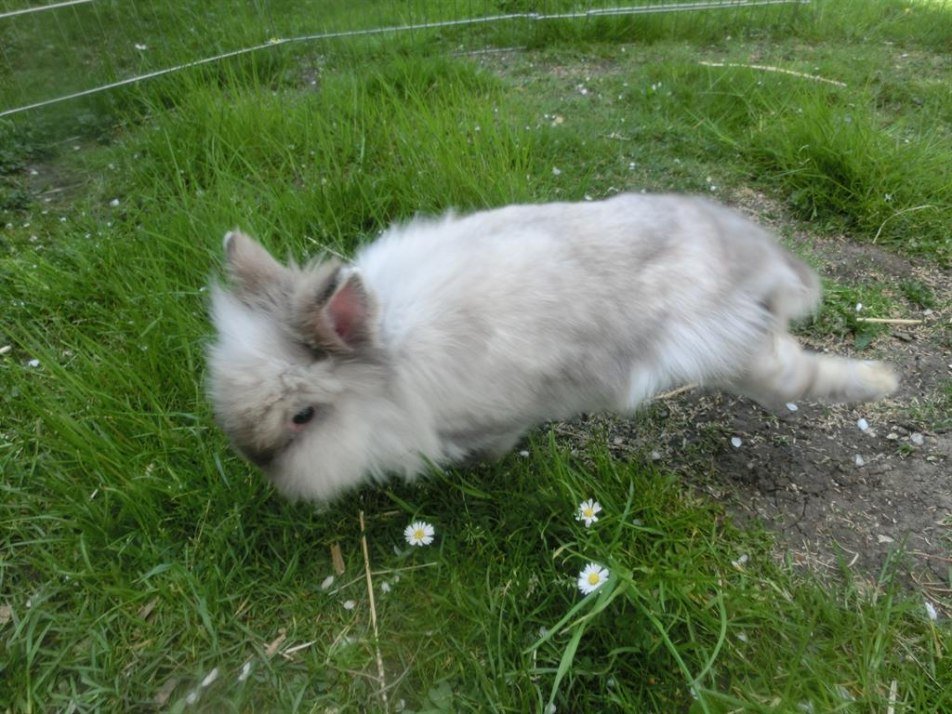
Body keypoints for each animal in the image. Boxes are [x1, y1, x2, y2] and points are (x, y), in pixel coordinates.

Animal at [207, 193, 899, 502]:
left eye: (303, 416)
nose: (258, 466)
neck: (391, 356)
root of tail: (759, 266)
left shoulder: (493, 412)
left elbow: (495, 440)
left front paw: (481, 466)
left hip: (742, 358)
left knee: (804, 377)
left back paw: (883, 379)